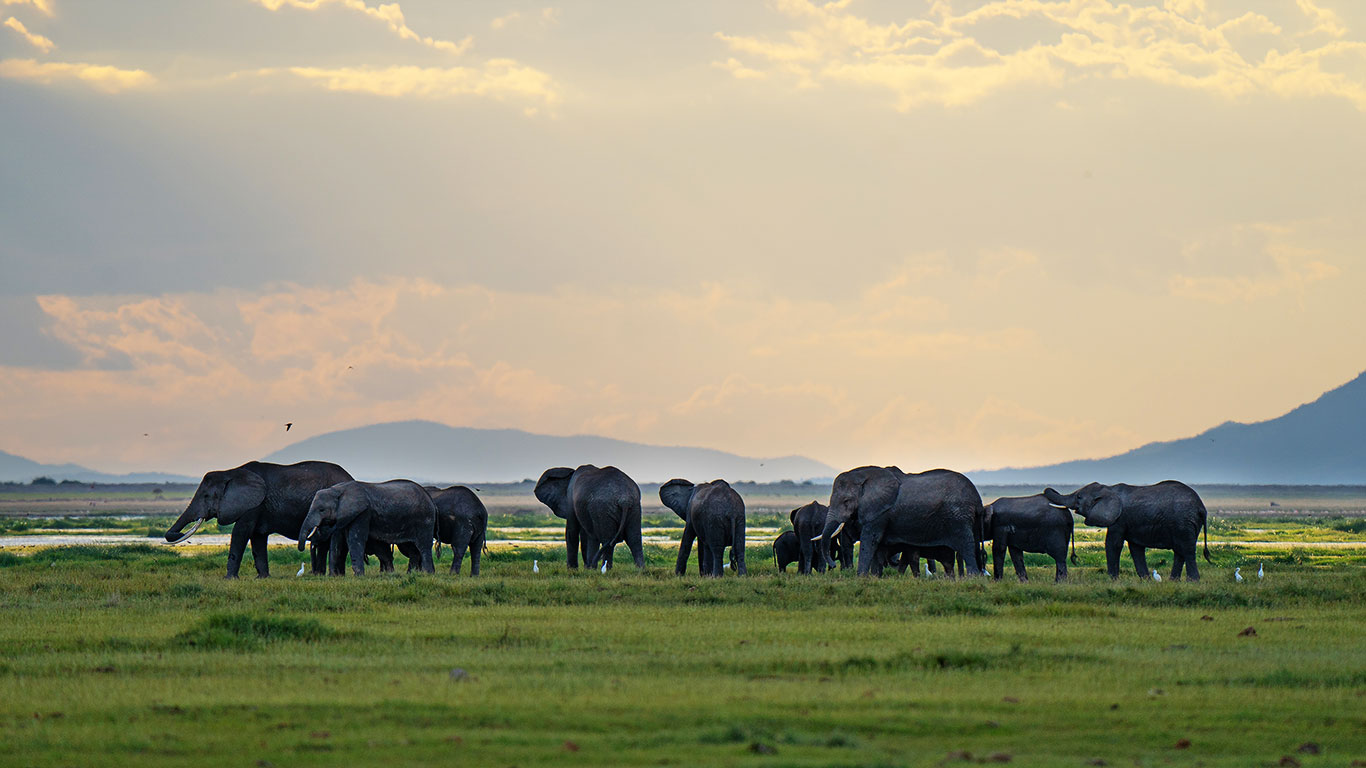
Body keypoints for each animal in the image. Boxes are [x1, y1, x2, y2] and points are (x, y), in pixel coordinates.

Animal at [164, 460, 352, 579]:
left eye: (206, 496)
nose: (174, 534)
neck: (230, 472)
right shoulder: (257, 507)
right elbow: (257, 538)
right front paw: (262, 577)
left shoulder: (253, 505)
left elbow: (240, 533)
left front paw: (229, 579)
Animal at [298, 479, 437, 575]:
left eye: (321, 510)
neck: (338, 490)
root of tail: (429, 497)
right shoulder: (347, 514)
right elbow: (338, 542)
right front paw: (334, 577)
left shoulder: (363, 513)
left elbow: (355, 540)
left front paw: (359, 576)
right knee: (412, 548)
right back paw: (410, 574)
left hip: (424, 519)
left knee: (423, 546)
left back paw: (427, 574)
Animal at [821, 466, 984, 577]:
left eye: (846, 501)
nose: (833, 565)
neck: (864, 477)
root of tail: (978, 499)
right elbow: (878, 545)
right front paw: (874, 577)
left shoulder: (878, 513)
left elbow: (870, 540)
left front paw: (861, 577)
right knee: (974, 545)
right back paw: (978, 576)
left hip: (959, 516)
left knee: (966, 544)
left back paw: (972, 577)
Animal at [1044, 481, 1210, 581]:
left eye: (1079, 497)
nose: (1048, 489)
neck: (1108, 489)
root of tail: (1202, 507)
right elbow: (1135, 548)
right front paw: (1146, 580)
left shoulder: (1119, 518)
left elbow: (1113, 544)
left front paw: (1113, 580)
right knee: (1179, 551)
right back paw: (1173, 581)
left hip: (1184, 521)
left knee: (1186, 549)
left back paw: (1193, 581)